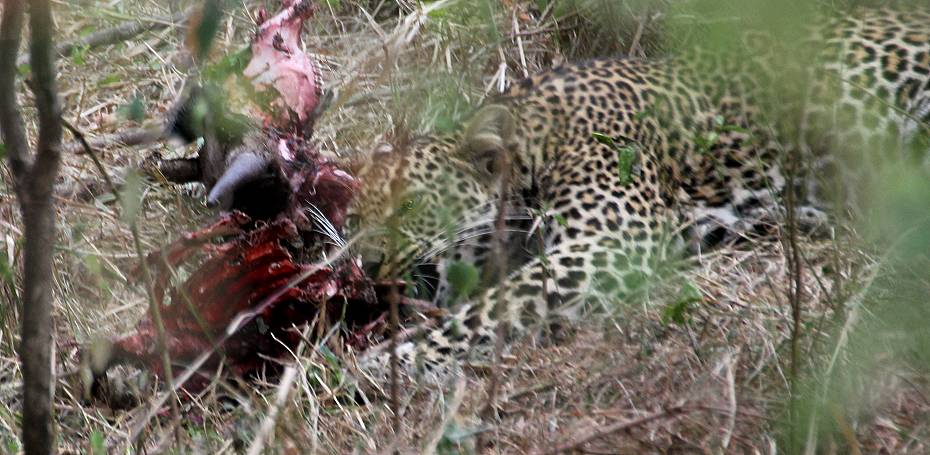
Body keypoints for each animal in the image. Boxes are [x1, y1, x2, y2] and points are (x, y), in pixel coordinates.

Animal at [346, 7, 928, 376]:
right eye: (355, 217)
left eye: (412, 205)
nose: (367, 265)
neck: (540, 138)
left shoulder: (614, 240)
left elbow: (488, 310)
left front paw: (384, 365)